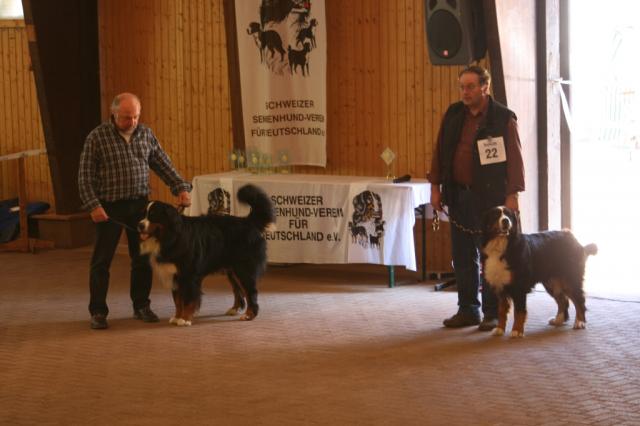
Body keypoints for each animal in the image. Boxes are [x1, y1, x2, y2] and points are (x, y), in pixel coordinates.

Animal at [138, 183, 276, 326]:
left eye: (153, 215)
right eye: (143, 214)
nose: (139, 225)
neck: (171, 236)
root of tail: (248, 222)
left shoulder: (189, 276)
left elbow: (188, 300)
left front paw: (185, 319)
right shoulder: (174, 275)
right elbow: (178, 301)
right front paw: (177, 317)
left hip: (243, 268)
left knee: (250, 292)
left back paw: (249, 315)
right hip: (232, 270)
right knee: (238, 290)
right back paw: (234, 309)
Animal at [482, 207, 596, 340]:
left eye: (508, 215)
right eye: (496, 215)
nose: (505, 221)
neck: (501, 246)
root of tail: (572, 237)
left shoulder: (519, 287)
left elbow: (519, 312)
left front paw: (517, 331)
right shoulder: (500, 287)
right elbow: (501, 311)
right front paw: (499, 329)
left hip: (570, 278)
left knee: (579, 300)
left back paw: (579, 322)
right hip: (552, 282)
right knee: (563, 300)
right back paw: (558, 320)